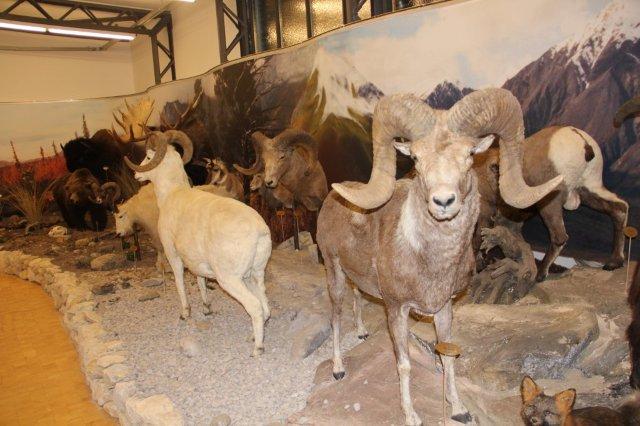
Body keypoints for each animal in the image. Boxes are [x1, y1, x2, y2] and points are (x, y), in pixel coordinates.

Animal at [124, 130, 272, 356]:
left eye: (148, 157)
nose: (136, 175)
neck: (172, 194)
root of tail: (260, 231)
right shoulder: (195, 260)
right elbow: (200, 280)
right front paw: (206, 307)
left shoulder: (173, 254)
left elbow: (179, 281)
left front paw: (185, 313)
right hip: (254, 274)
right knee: (265, 308)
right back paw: (254, 336)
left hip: (230, 278)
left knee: (255, 307)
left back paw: (257, 348)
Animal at [317, 88, 562, 425]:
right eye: (416, 158)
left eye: (470, 154)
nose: (443, 201)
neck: (432, 263)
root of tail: (331, 200)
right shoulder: (397, 310)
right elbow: (404, 364)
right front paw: (411, 415)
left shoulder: (444, 310)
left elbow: (448, 358)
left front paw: (459, 410)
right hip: (334, 273)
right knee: (336, 317)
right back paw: (339, 369)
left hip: (355, 280)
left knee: (356, 300)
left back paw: (363, 333)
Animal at [474, 126, 628, 281]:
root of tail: (583, 142)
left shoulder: (485, 212)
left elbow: (477, 240)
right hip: (589, 190)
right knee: (620, 208)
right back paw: (614, 263)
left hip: (551, 203)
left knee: (560, 236)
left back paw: (540, 274)